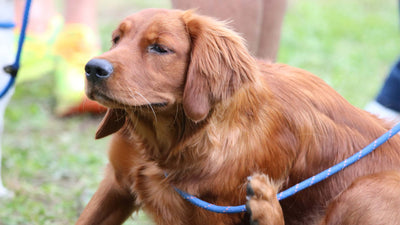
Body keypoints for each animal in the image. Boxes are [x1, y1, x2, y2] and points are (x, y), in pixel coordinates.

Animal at [76, 7, 400, 224]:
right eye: (116, 39)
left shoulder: (214, 214)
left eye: (159, 48)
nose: (92, 68)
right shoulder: (116, 182)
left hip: (363, 189)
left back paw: (265, 204)